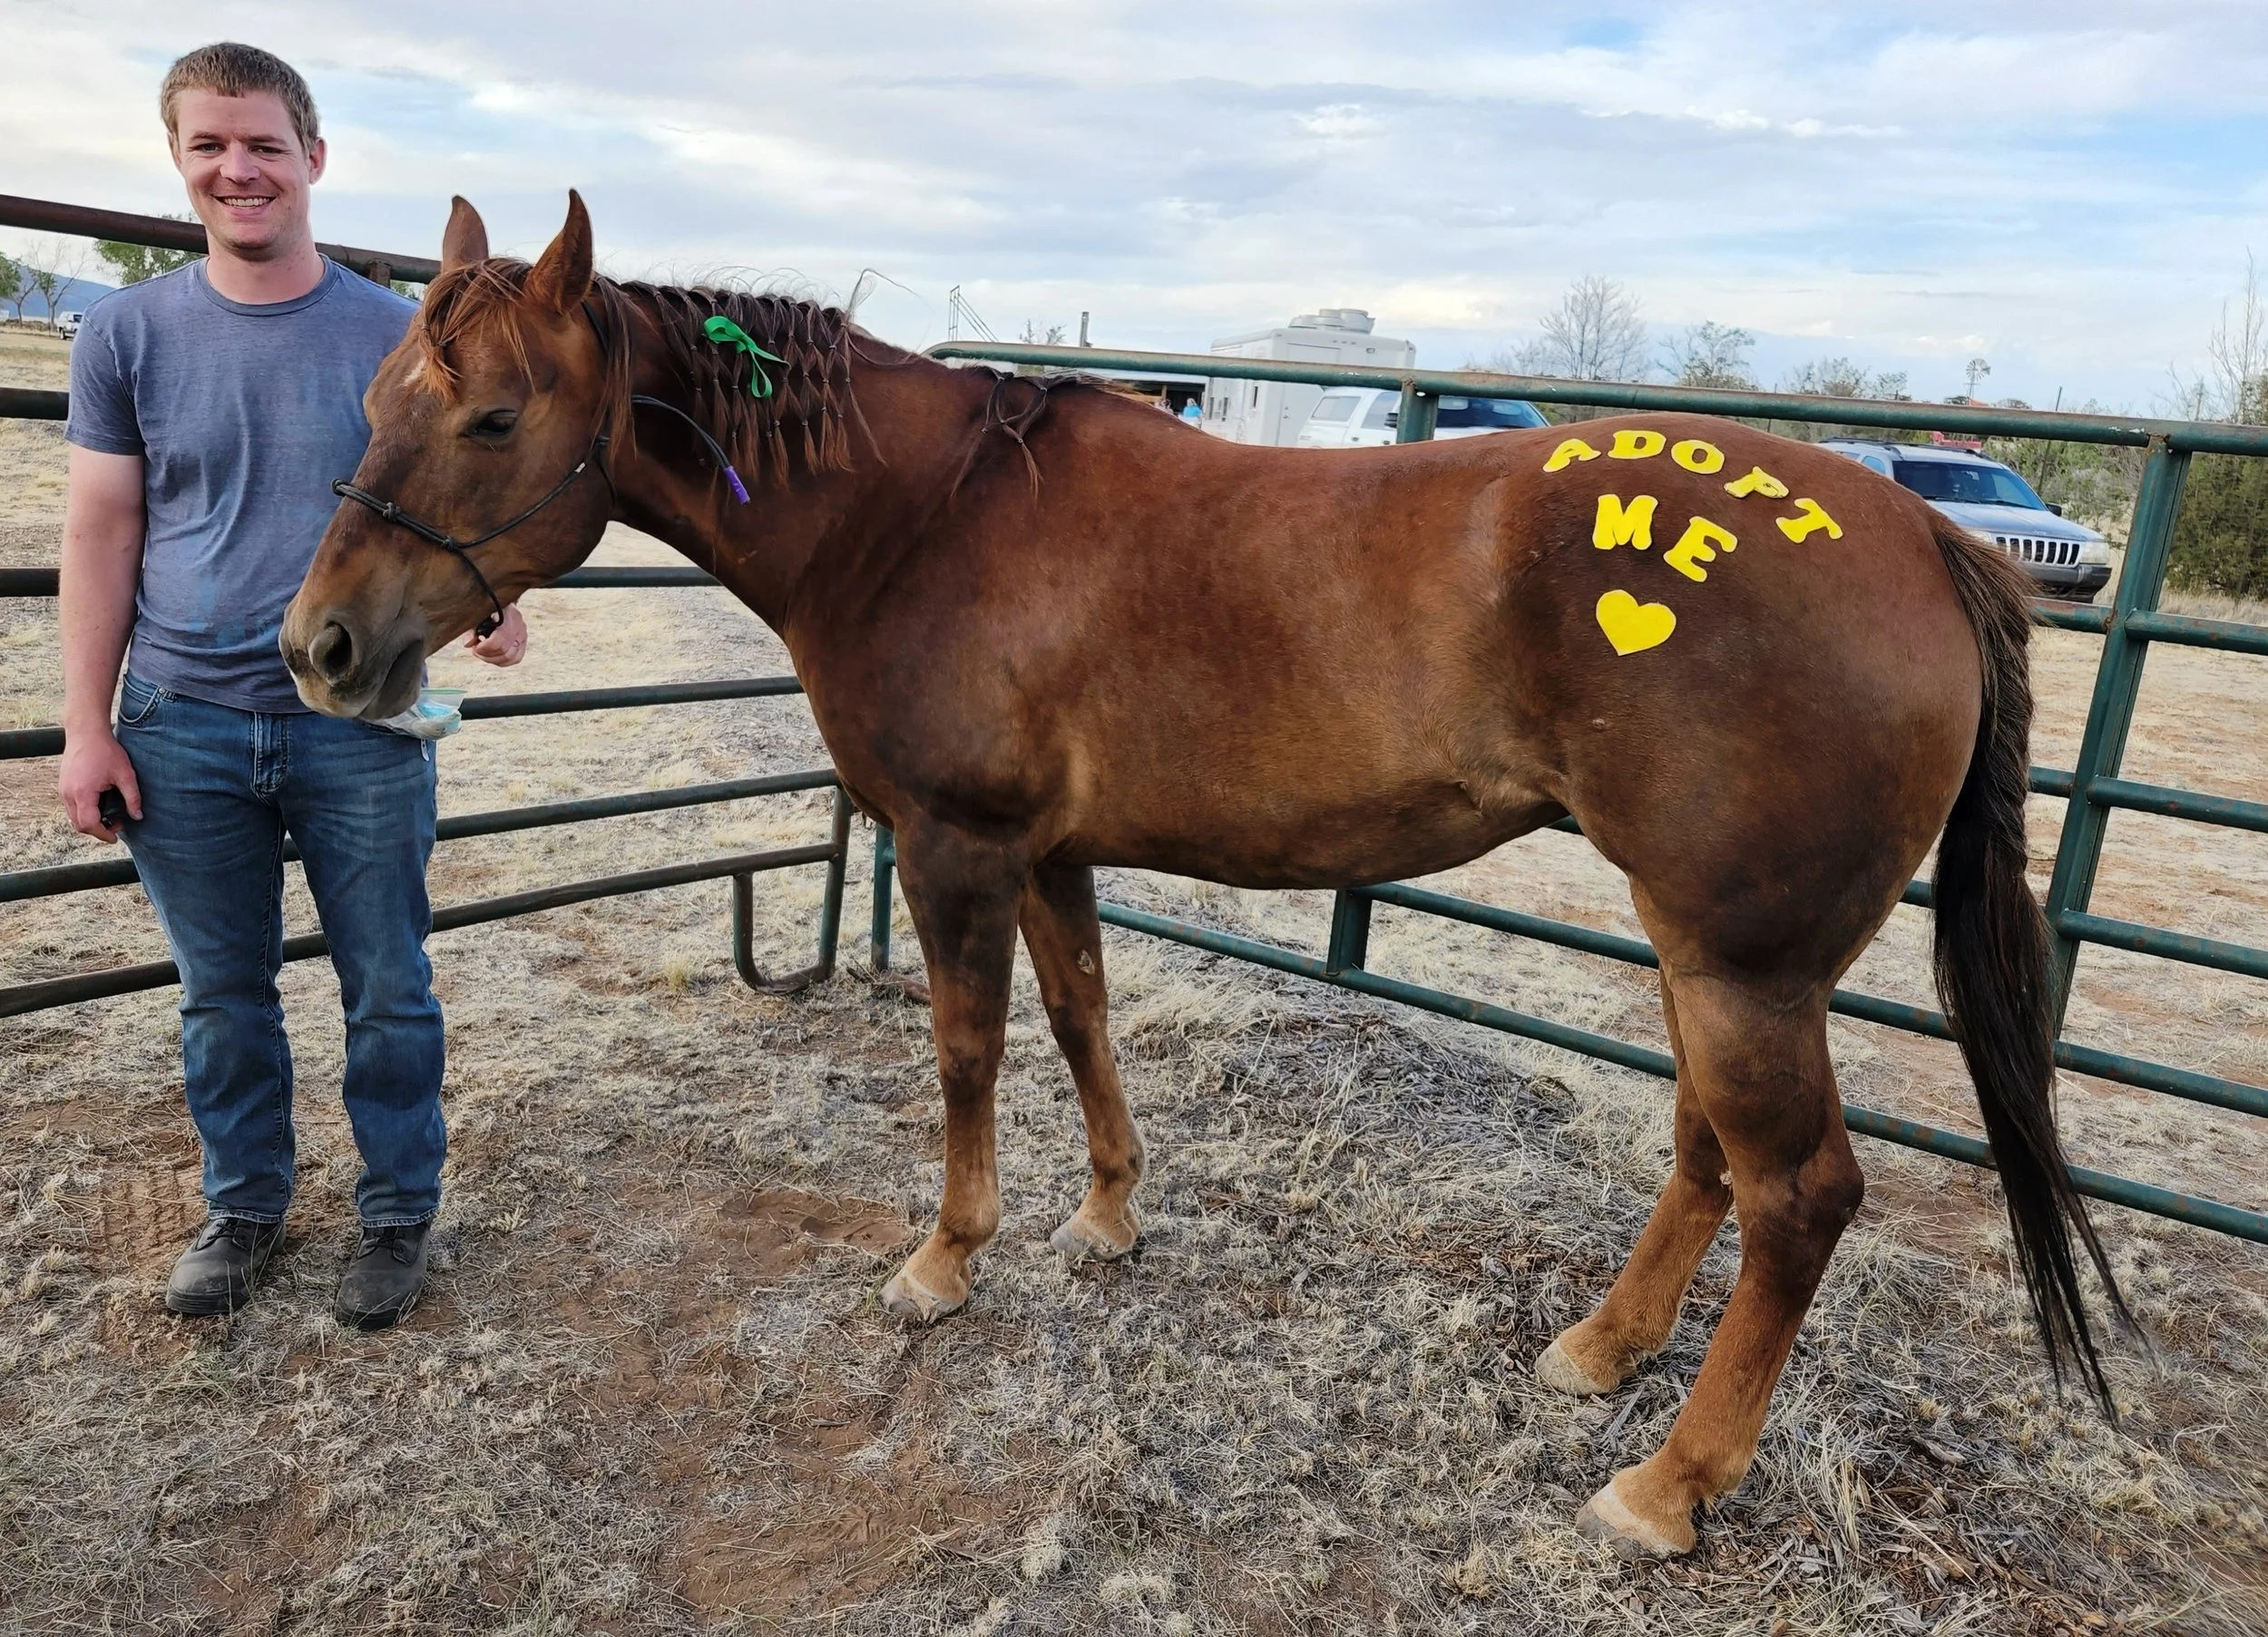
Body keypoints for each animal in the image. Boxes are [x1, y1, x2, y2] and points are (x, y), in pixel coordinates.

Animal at [281, 194, 2126, 1557]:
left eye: (495, 415)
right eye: (373, 403)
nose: (321, 650)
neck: (923, 516)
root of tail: (1927, 540)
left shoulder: (955, 846)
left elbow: (966, 1053)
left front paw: (946, 1261)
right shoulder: (1051, 854)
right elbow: (1083, 1021)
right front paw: (1108, 1217)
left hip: (1743, 965)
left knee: (1801, 1192)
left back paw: (1666, 1486)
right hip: (1717, 957)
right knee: (1709, 1157)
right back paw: (1601, 1353)